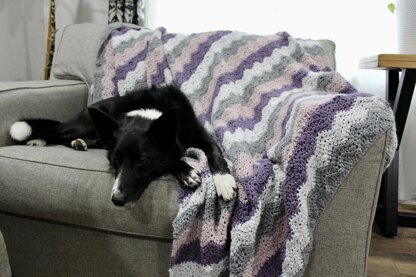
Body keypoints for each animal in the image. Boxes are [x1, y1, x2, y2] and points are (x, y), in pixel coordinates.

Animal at [9, 85, 236, 205]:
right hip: (87, 123)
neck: (150, 112)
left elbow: (214, 153)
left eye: (142, 160)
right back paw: (41, 139)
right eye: (114, 160)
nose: (116, 200)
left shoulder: (203, 137)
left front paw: (224, 181)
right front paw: (186, 171)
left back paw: (76, 143)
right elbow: (171, 159)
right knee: (58, 131)